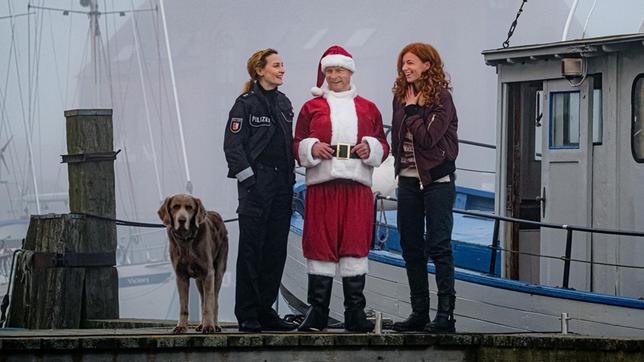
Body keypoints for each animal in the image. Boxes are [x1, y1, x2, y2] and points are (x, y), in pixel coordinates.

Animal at [157, 194, 228, 332]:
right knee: (202, 299)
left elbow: (209, 304)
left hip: (219, 271)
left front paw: (209, 326)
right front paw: (181, 327)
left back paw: (215, 325)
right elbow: (184, 305)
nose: (182, 220)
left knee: (214, 299)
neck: (186, 241)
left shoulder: (208, 273)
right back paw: (201, 324)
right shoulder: (181, 275)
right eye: (175, 207)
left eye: (189, 207)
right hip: (199, 280)